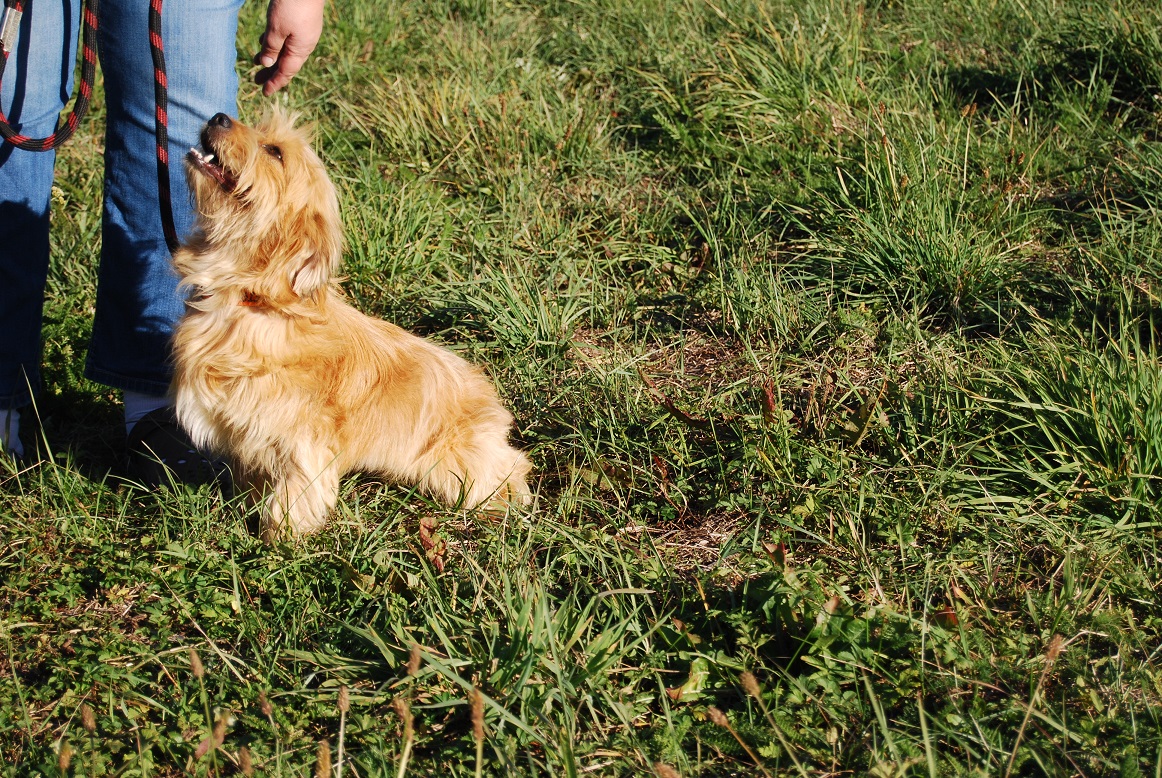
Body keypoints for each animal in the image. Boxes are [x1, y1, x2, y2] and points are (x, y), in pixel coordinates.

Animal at [171, 109, 531, 542]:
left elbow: (294, 494)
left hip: (458, 462)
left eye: (274, 151)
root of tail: (493, 403)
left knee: (511, 469)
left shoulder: (300, 439)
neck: (251, 299)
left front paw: (279, 542)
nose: (219, 116)